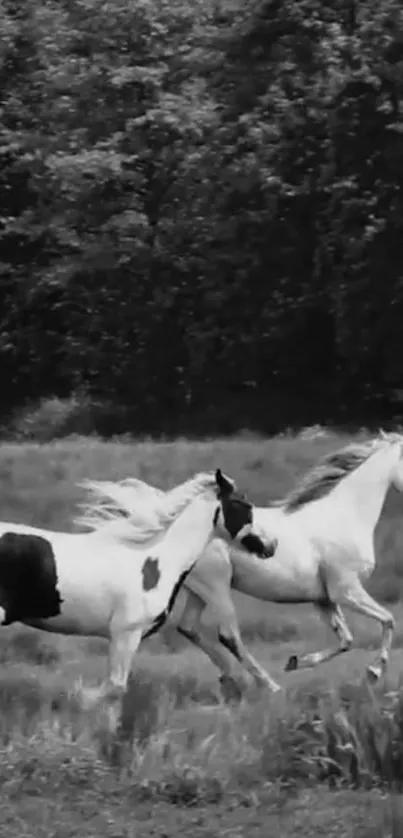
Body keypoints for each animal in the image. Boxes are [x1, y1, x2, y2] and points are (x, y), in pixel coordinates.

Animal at [118, 434, 403, 696]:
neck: (343, 516)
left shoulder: (323, 599)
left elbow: (346, 639)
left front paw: (295, 661)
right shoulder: (345, 590)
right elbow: (388, 620)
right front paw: (374, 672)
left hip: (197, 590)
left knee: (188, 627)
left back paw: (231, 679)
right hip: (216, 584)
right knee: (228, 634)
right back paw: (268, 685)